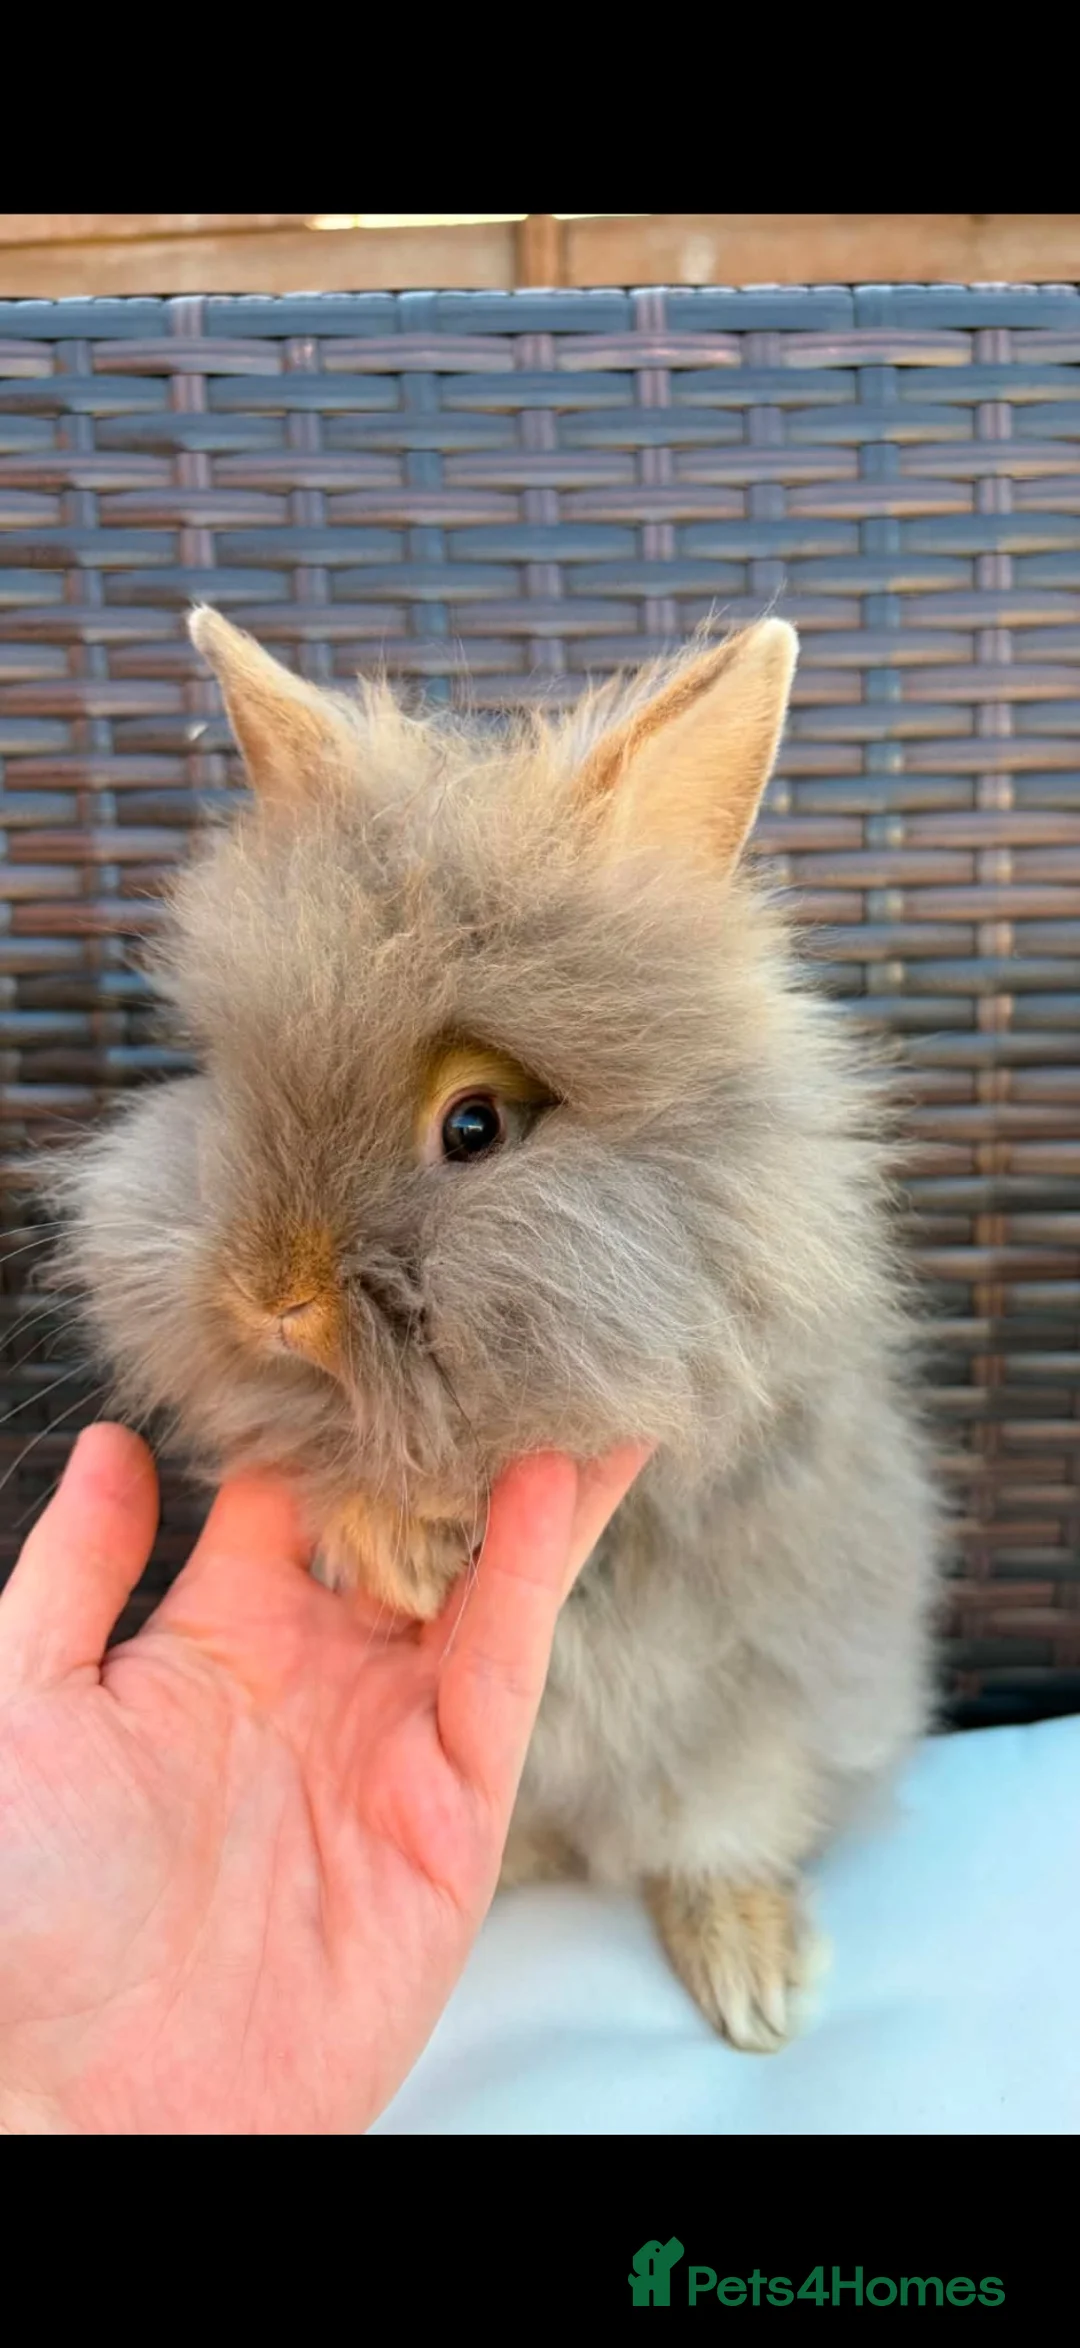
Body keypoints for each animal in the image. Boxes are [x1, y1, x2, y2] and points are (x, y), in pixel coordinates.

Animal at [46, 607, 941, 2052]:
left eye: (475, 1125)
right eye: (236, 1085)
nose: (270, 1299)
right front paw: (399, 1551)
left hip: (749, 1739)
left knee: (712, 1836)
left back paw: (752, 1978)